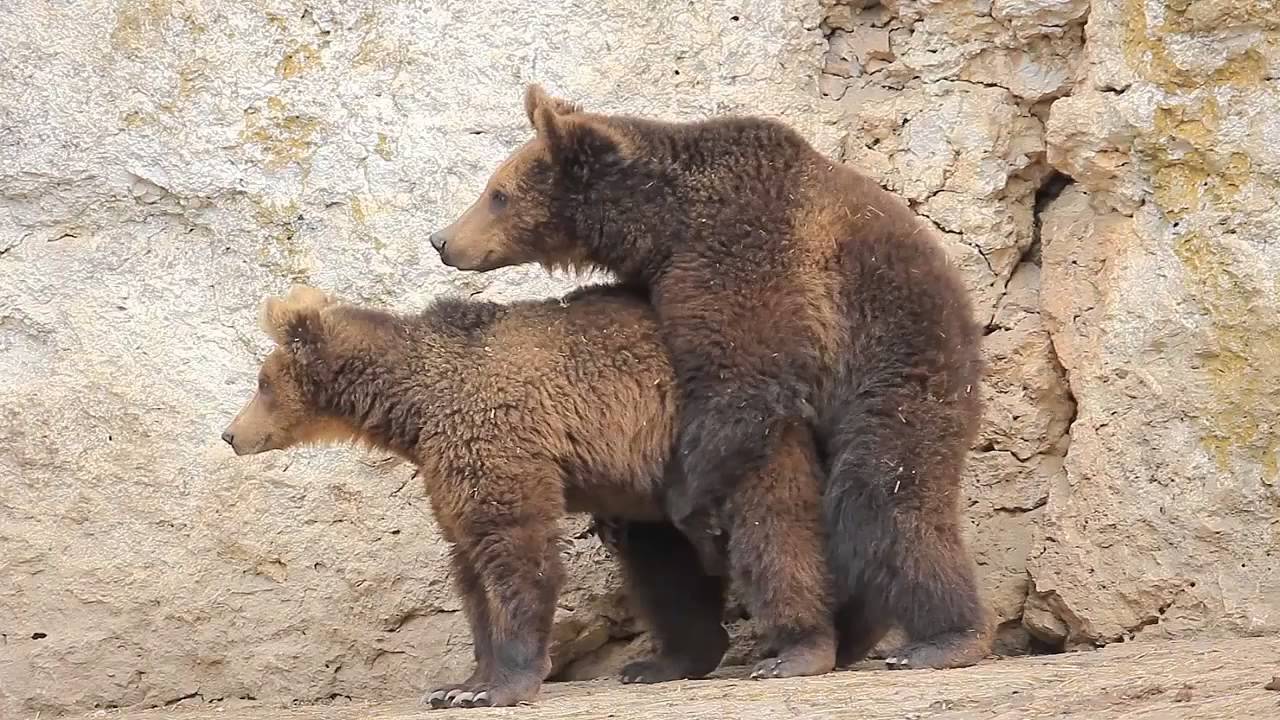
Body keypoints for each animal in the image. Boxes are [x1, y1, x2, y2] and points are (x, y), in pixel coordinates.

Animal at [222, 283, 829, 702]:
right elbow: (470, 566)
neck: (413, 407)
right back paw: (663, 662)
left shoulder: (495, 438)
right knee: (662, 560)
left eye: (261, 382)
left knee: (772, 528)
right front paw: (460, 683)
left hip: (733, 433)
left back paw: (797, 650)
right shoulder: (447, 466)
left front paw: (499, 687)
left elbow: (515, 553)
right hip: (655, 475)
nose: (230, 434)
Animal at [430, 85, 988, 671]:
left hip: (900, 364)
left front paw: (688, 504)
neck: (661, 222)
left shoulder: (741, 255)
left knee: (883, 492)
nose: (442, 239)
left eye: (497, 194)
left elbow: (742, 382)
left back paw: (940, 637)